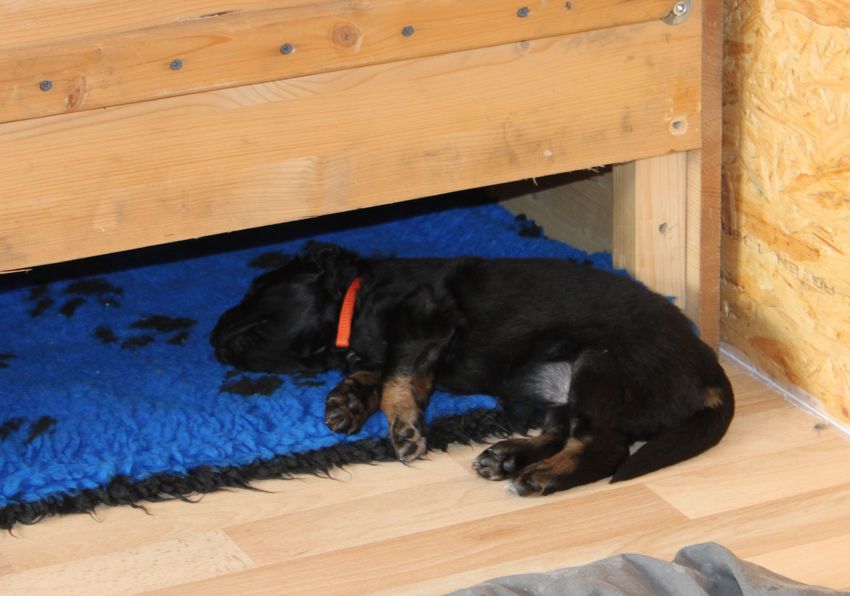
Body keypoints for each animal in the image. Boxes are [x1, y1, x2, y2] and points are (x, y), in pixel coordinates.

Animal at [211, 242, 734, 495]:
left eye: (256, 288)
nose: (211, 335)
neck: (355, 301)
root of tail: (709, 369)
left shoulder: (424, 320)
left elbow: (396, 378)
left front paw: (404, 430)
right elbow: (379, 372)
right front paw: (347, 401)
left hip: (601, 366)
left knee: (604, 446)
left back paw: (541, 476)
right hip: (548, 388)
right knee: (562, 429)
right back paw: (508, 456)